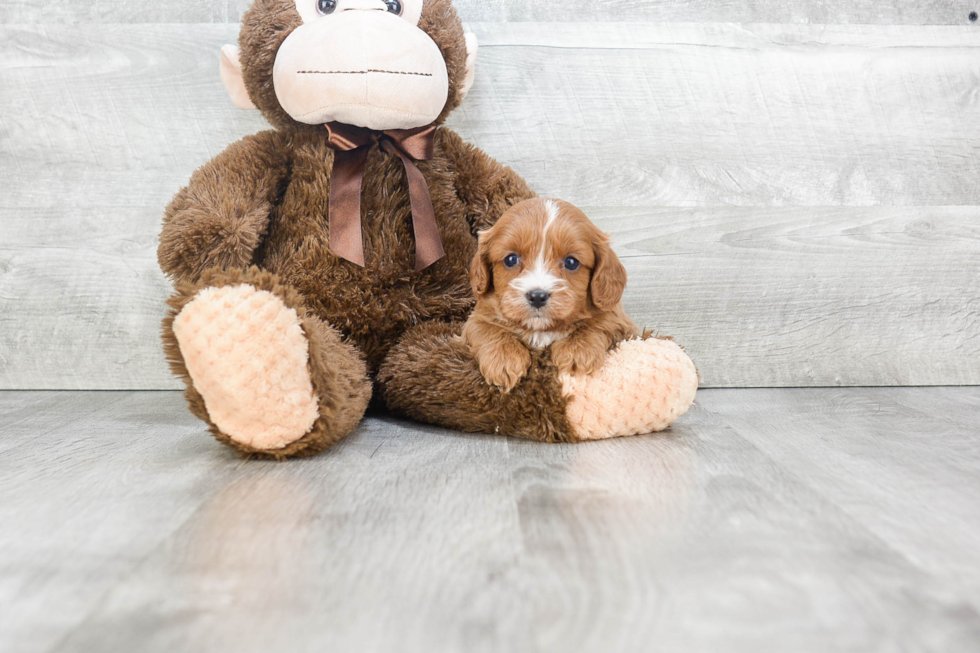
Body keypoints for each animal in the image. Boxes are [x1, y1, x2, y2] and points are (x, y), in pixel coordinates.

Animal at [464, 197, 640, 392]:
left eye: (571, 262)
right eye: (511, 259)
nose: (537, 296)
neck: (542, 329)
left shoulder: (620, 320)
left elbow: (600, 323)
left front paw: (576, 351)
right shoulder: (476, 318)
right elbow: (486, 329)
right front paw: (504, 359)